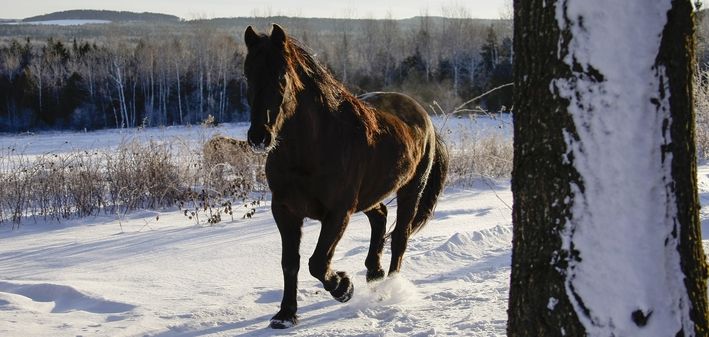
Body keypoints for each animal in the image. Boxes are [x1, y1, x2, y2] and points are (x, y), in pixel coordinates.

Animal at [241, 24, 446, 328]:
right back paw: (374, 273)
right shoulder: (285, 210)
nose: (259, 137)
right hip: (371, 194)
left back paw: (389, 287)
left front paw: (343, 287)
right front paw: (285, 315)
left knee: (400, 237)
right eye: (247, 74)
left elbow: (317, 262)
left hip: (411, 189)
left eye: (281, 75)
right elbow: (290, 263)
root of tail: (424, 117)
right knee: (380, 215)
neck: (311, 147)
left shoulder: (338, 212)